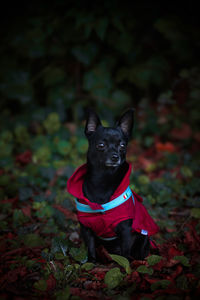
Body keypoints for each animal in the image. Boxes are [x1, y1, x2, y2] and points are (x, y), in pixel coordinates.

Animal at [68, 109, 159, 262]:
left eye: (123, 146)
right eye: (101, 145)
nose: (116, 156)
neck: (103, 180)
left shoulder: (126, 229)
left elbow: (125, 255)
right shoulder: (86, 228)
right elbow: (90, 248)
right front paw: (91, 262)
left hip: (143, 238)